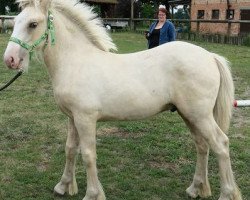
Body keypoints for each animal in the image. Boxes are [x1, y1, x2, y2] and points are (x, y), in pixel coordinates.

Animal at [2, 0, 242, 200]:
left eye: (33, 24)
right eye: (15, 21)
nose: (10, 60)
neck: (76, 61)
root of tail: (210, 56)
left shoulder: (85, 119)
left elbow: (88, 154)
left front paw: (93, 194)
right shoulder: (72, 118)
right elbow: (70, 149)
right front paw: (63, 186)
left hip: (199, 115)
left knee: (220, 144)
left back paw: (226, 194)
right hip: (189, 115)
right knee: (202, 145)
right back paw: (195, 189)